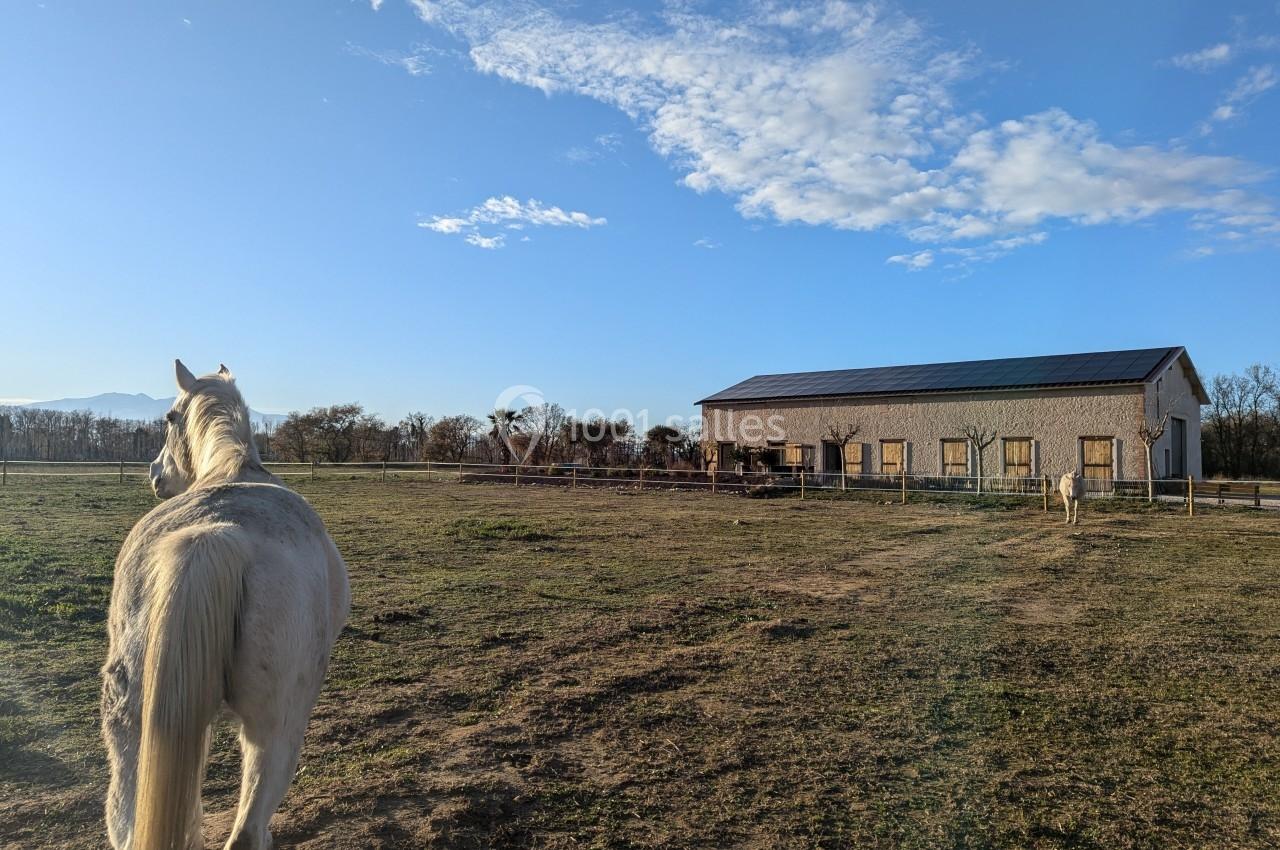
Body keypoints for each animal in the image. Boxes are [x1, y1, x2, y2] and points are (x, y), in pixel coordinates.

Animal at [101, 361, 350, 850]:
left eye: (168, 418)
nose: (155, 474)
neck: (233, 467)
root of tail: (216, 531)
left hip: (133, 723)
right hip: (277, 728)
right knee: (248, 831)